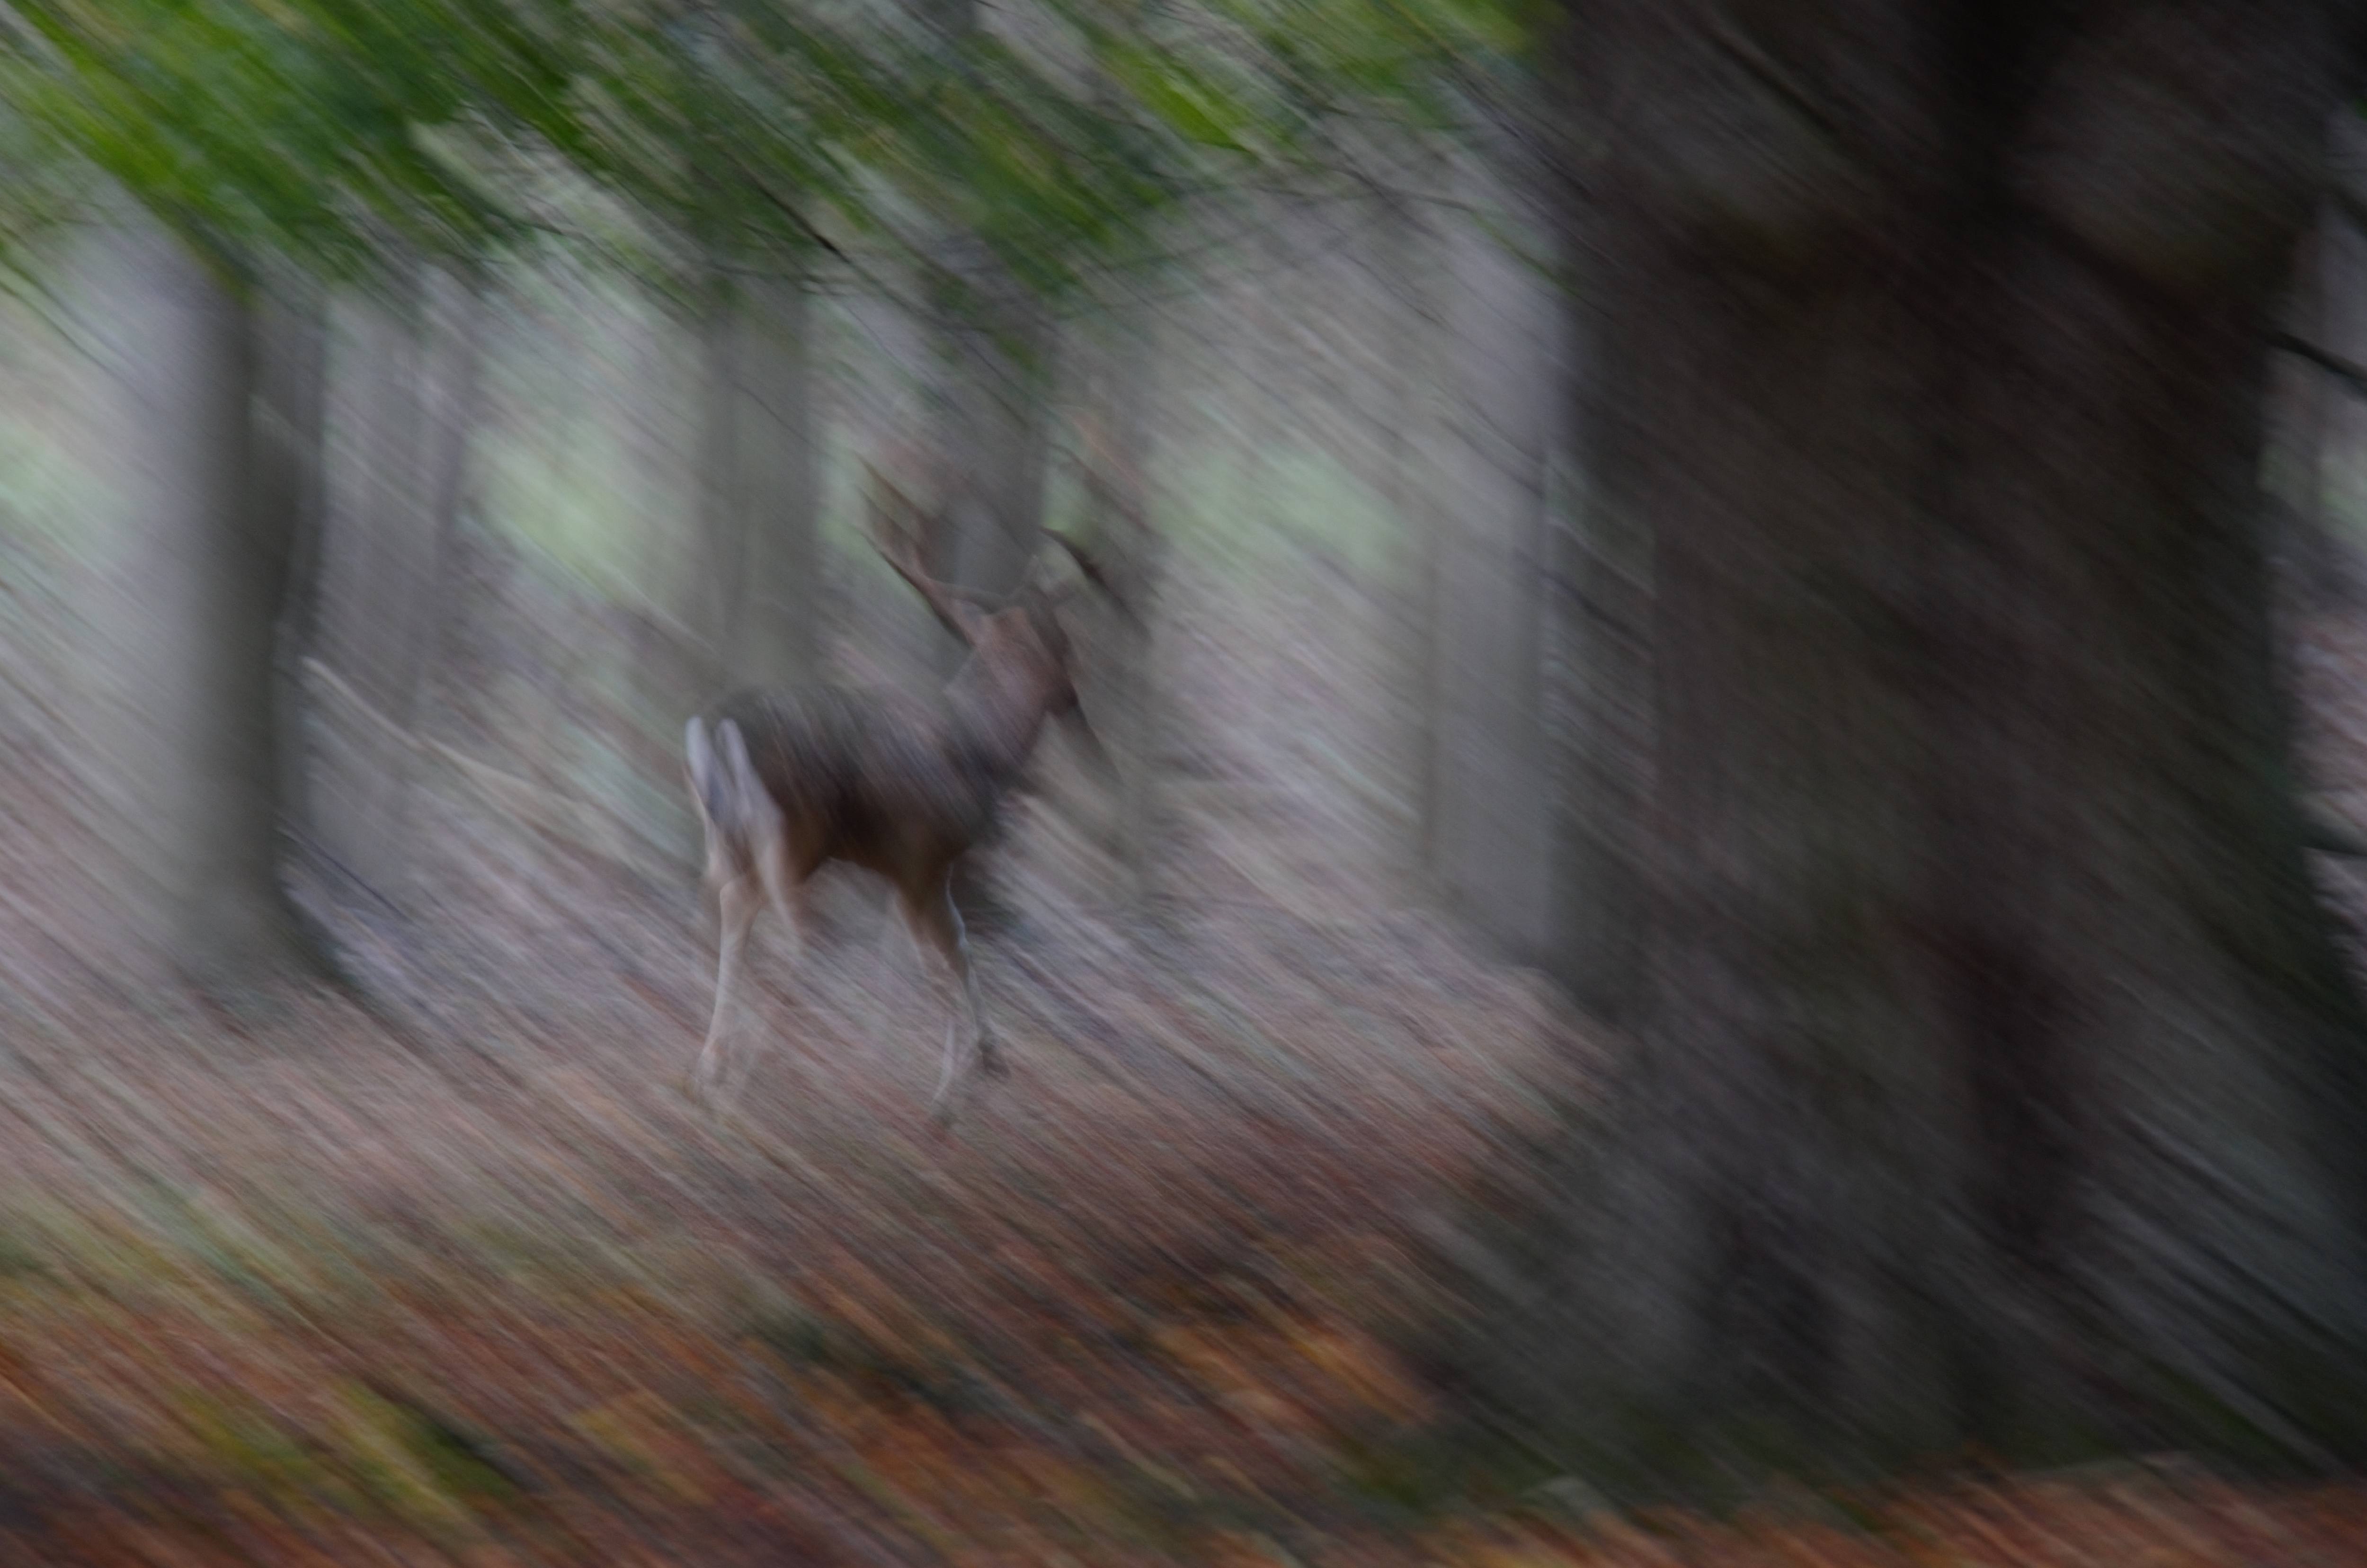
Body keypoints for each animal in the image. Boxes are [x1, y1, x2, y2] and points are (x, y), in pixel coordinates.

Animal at [682, 466, 1121, 1122]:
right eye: (1066, 645)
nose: (1076, 707)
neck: (977, 748)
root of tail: (716, 727)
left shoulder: (905, 866)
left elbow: (951, 950)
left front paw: (987, 1060)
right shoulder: (922, 855)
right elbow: (939, 961)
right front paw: (949, 1094)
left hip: (726, 835)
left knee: (719, 909)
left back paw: (708, 1067)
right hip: (794, 835)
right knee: (778, 929)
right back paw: (736, 1084)